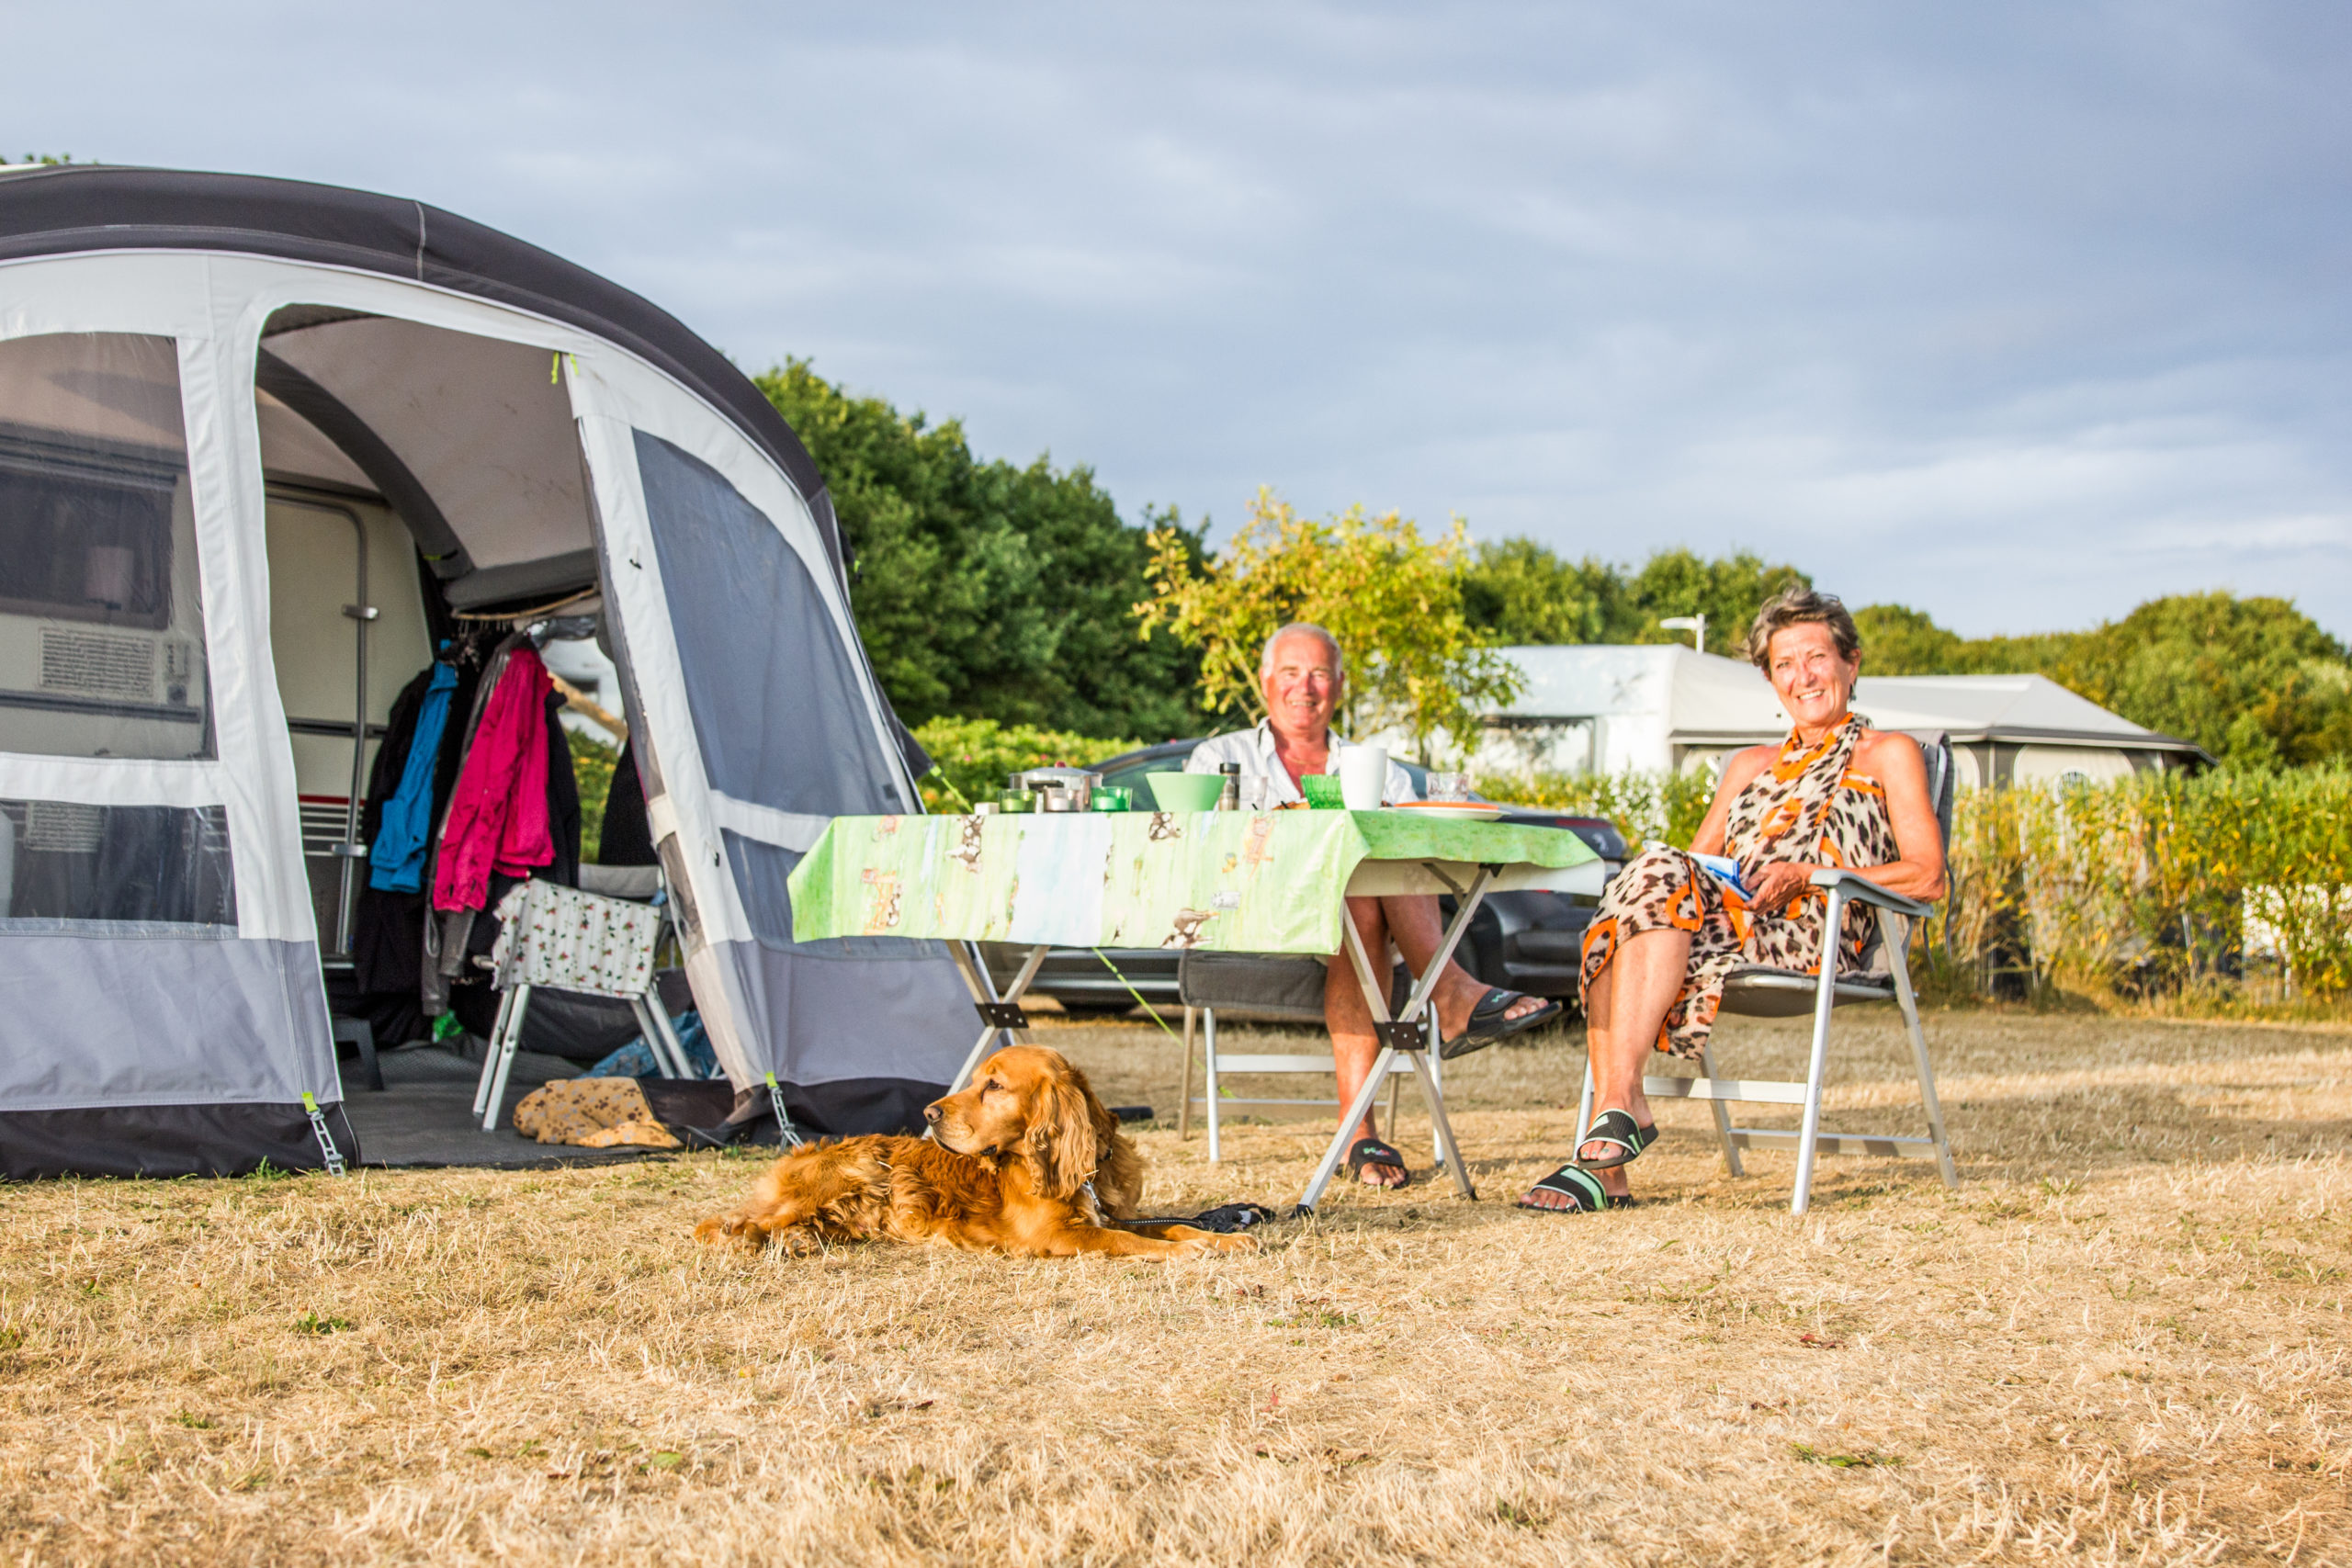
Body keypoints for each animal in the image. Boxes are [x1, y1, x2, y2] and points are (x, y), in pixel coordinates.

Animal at [695, 1048, 1250, 1259]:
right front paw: (1191, 1251)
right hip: (861, 1169)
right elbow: (1130, 1241)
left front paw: (1222, 1239)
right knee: (728, 1222)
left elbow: (1168, 1225)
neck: (1087, 1172)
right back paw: (757, 1237)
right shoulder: (1056, 1234)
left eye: (995, 1086)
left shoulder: (1113, 1214)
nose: (929, 1112)